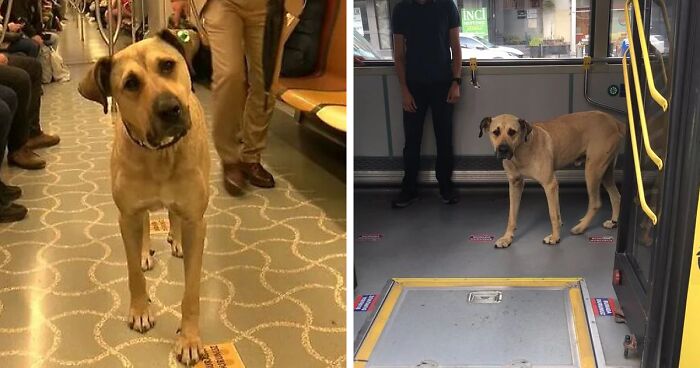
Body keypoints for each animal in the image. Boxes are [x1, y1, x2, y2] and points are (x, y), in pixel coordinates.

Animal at [78, 30, 211, 364]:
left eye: (167, 65)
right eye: (130, 84)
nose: (169, 108)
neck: (160, 154)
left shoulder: (196, 221)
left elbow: (191, 291)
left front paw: (189, 338)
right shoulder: (126, 216)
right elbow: (134, 273)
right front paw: (140, 310)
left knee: (173, 216)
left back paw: (176, 239)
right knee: (147, 221)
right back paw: (144, 249)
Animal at [478, 111, 628, 247]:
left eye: (512, 132)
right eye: (495, 132)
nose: (503, 149)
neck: (521, 149)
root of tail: (614, 121)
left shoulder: (550, 184)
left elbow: (553, 214)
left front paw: (555, 237)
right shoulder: (515, 184)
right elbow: (512, 215)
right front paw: (507, 238)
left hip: (593, 170)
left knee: (596, 202)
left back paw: (581, 228)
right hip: (606, 172)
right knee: (616, 196)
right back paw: (613, 222)